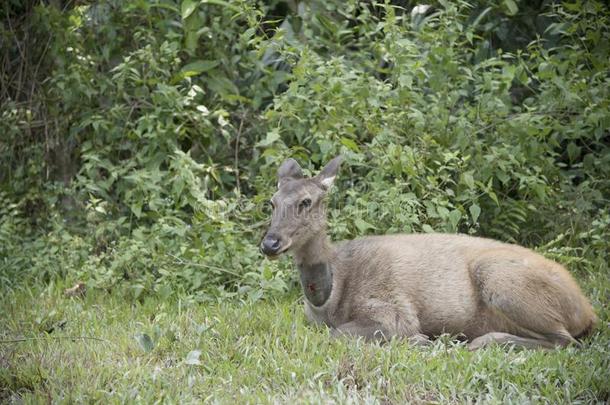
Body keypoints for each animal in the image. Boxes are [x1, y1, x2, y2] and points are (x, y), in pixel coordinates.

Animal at [258, 156, 592, 348]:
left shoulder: (393, 309)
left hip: (501, 279)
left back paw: (478, 341)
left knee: (565, 341)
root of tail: (588, 311)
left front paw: (419, 340)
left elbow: (337, 334)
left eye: (306, 201)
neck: (329, 299)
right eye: (272, 202)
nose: (270, 243)